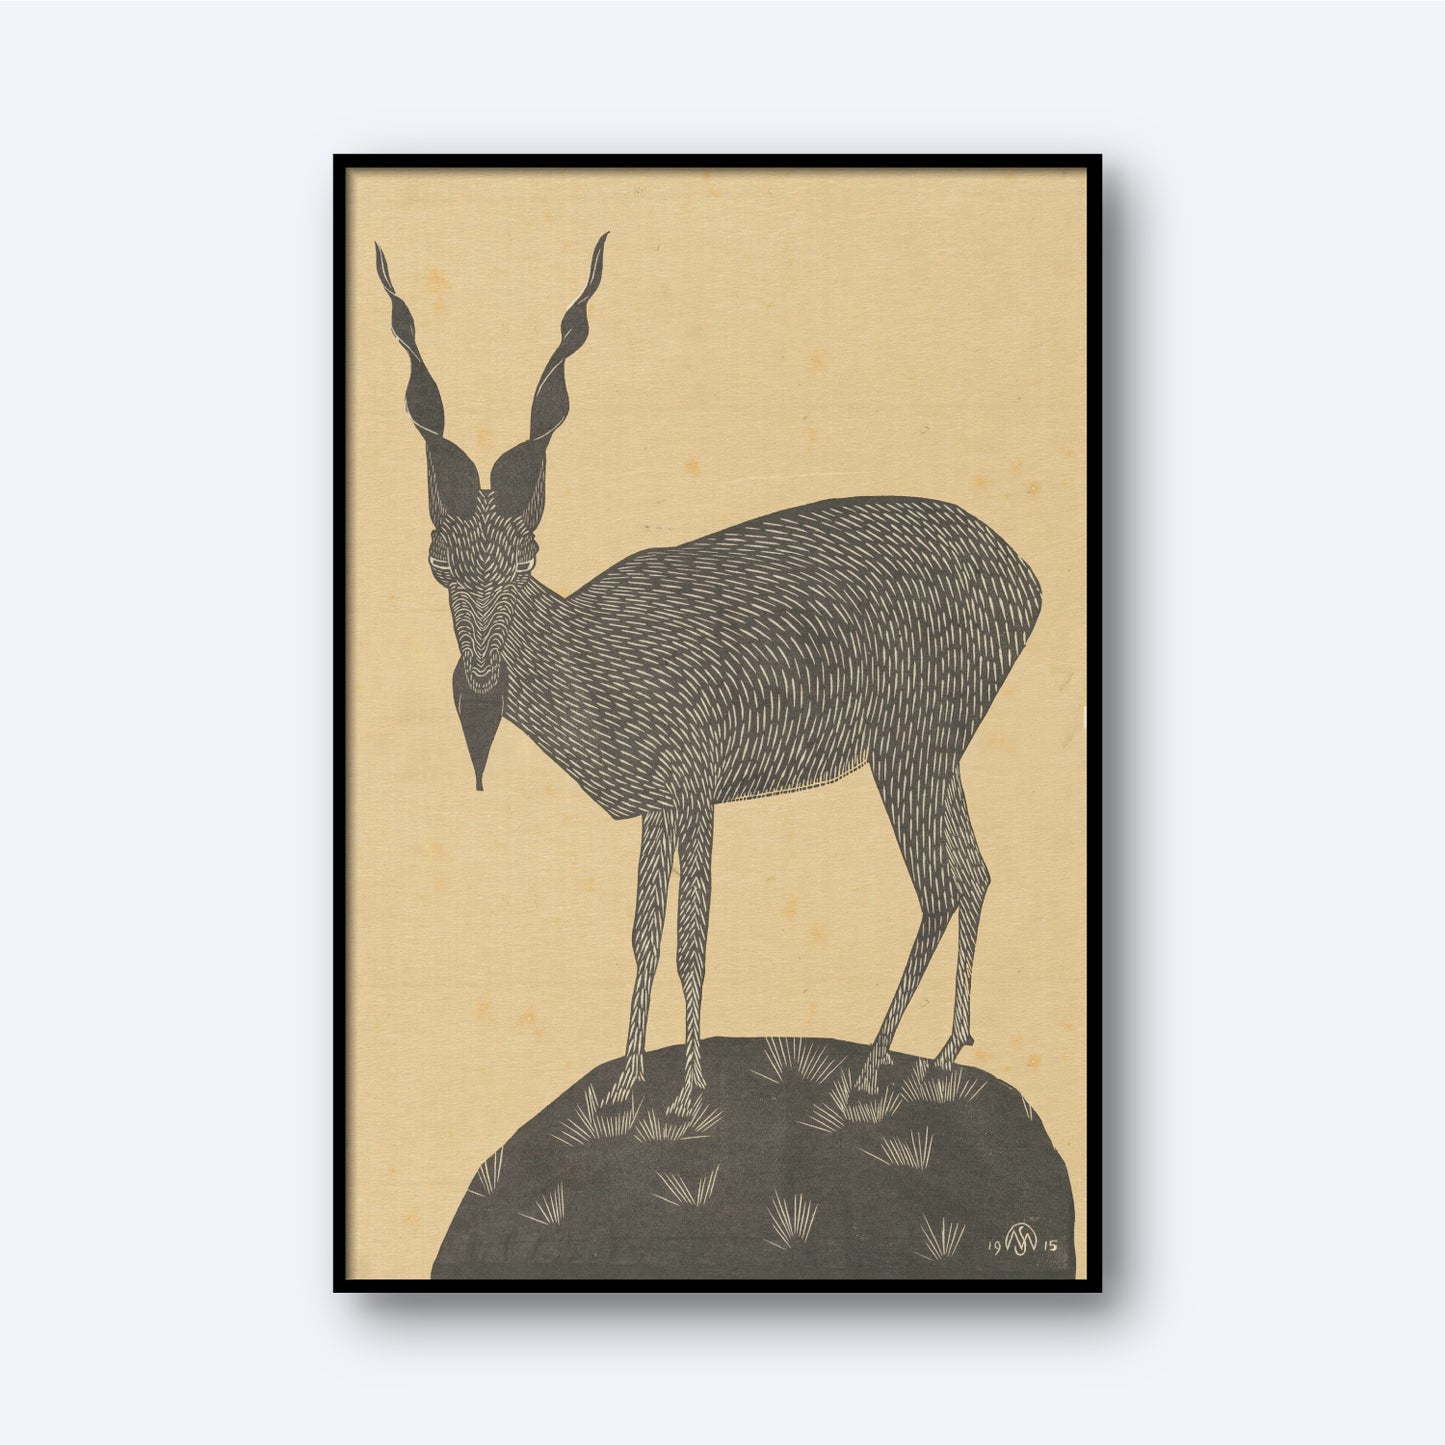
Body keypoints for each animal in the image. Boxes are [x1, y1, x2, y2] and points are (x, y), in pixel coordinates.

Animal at [375, 235, 1041, 1115]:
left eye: (525, 560)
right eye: (439, 565)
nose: (479, 681)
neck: (597, 655)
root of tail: (1028, 579)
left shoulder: (697, 790)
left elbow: (692, 939)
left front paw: (687, 1089)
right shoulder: (657, 807)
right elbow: (641, 937)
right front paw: (625, 1084)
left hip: (910, 748)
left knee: (941, 883)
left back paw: (874, 1065)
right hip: (937, 754)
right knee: (976, 872)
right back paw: (940, 1056)